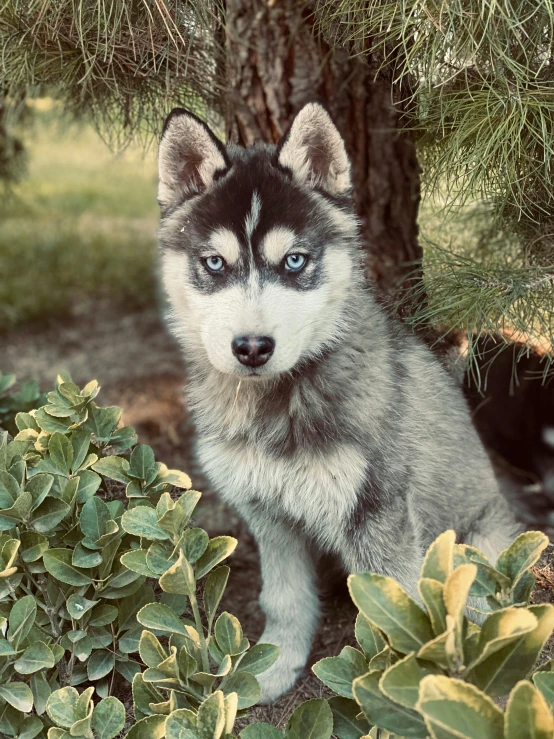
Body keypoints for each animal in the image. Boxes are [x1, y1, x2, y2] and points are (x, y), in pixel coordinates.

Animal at [155, 101, 516, 704]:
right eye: (214, 264)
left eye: (295, 261)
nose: (251, 347)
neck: (278, 405)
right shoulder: (268, 513)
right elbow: (285, 598)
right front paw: (273, 667)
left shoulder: (380, 517)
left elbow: (401, 613)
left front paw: (408, 693)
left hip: (477, 549)